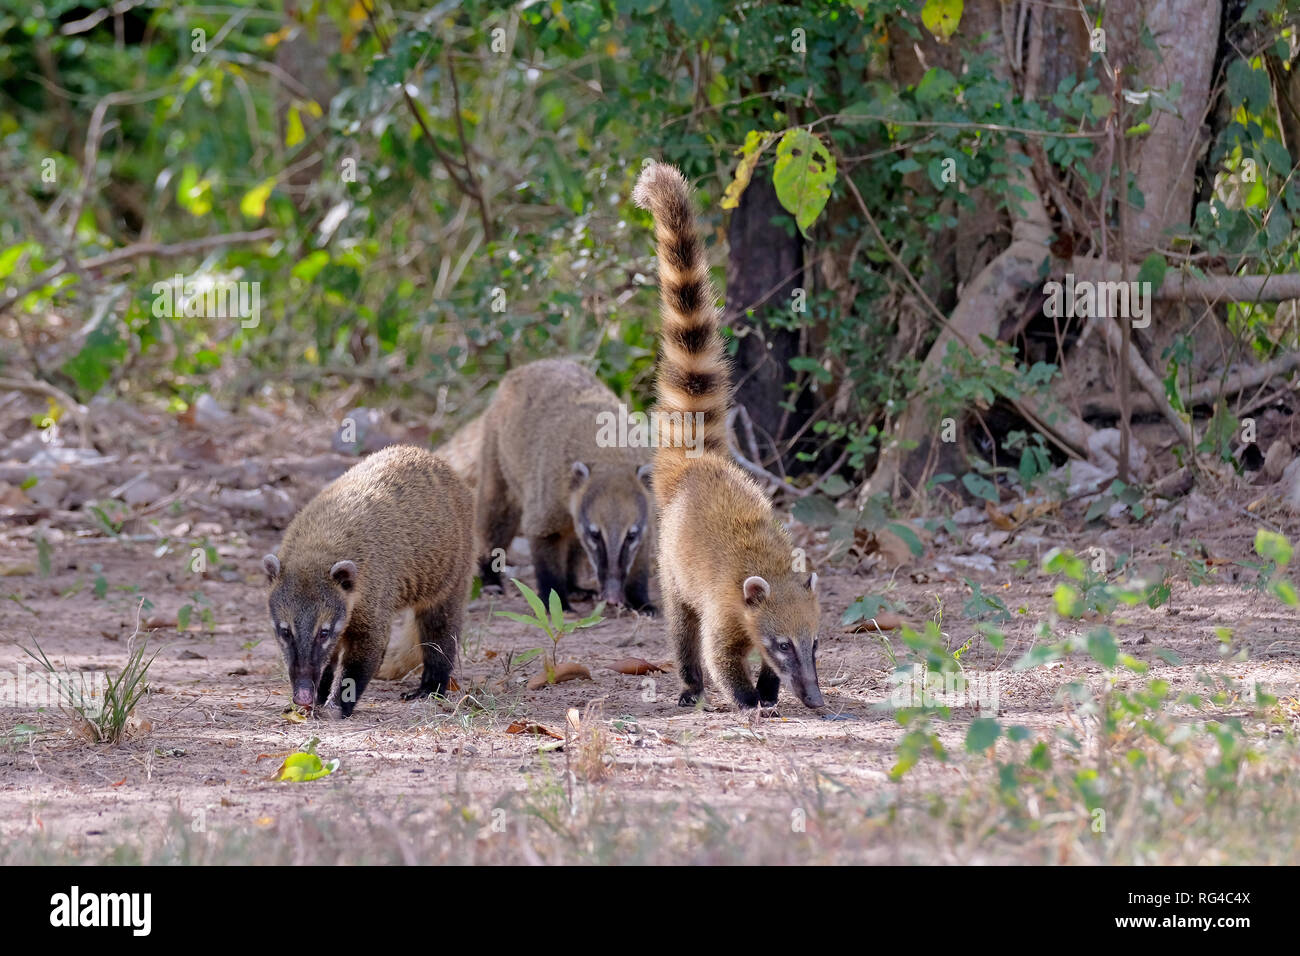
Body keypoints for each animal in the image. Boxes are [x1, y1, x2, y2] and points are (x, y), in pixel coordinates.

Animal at [262, 445, 472, 717]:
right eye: (285, 632)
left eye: (323, 633)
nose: (303, 695)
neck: (316, 549)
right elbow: (327, 660)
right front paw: (319, 696)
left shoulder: (376, 589)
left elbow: (370, 647)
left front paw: (338, 703)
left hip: (453, 568)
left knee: (441, 627)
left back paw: (432, 685)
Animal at [634, 161, 825, 710]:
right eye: (783, 645)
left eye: (814, 644)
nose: (815, 701)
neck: (770, 573)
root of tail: (700, 462)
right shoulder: (723, 603)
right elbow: (718, 651)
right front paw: (746, 696)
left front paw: (769, 687)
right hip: (670, 564)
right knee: (682, 627)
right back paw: (690, 682)